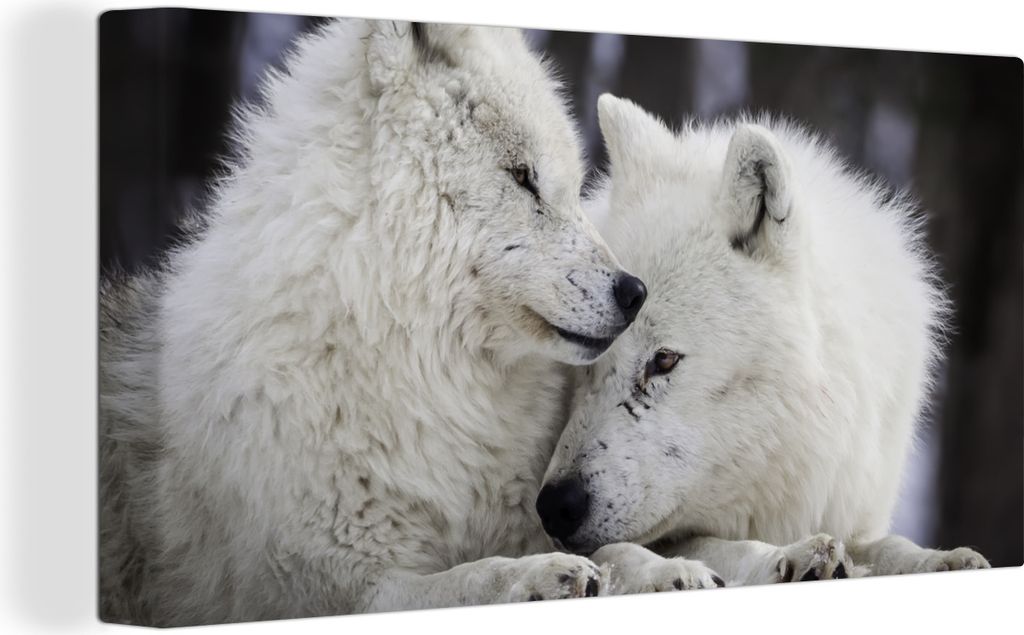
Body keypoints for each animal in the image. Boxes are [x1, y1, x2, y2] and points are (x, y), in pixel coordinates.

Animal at [99, 22, 724, 626]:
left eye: (569, 187)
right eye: (523, 177)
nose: (634, 292)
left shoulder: (530, 513)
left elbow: (611, 548)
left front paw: (666, 570)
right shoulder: (339, 588)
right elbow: (467, 580)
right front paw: (537, 578)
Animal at [537, 95, 990, 586]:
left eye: (664, 360)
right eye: (588, 364)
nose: (554, 507)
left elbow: (890, 546)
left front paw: (939, 559)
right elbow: (704, 547)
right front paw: (786, 558)